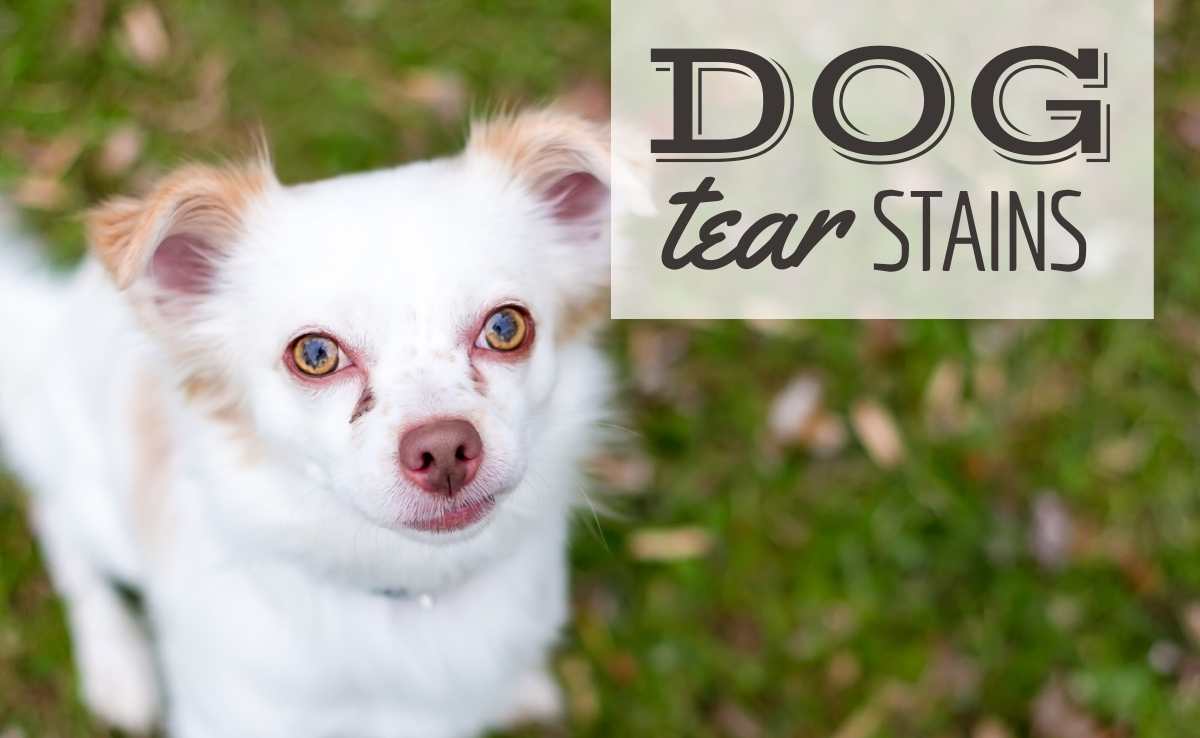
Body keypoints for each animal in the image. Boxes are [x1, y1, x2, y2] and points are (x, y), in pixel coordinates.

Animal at [0, 109, 614, 738]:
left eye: (506, 327)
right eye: (315, 354)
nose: (444, 449)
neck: (410, 587)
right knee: (57, 524)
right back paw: (116, 665)